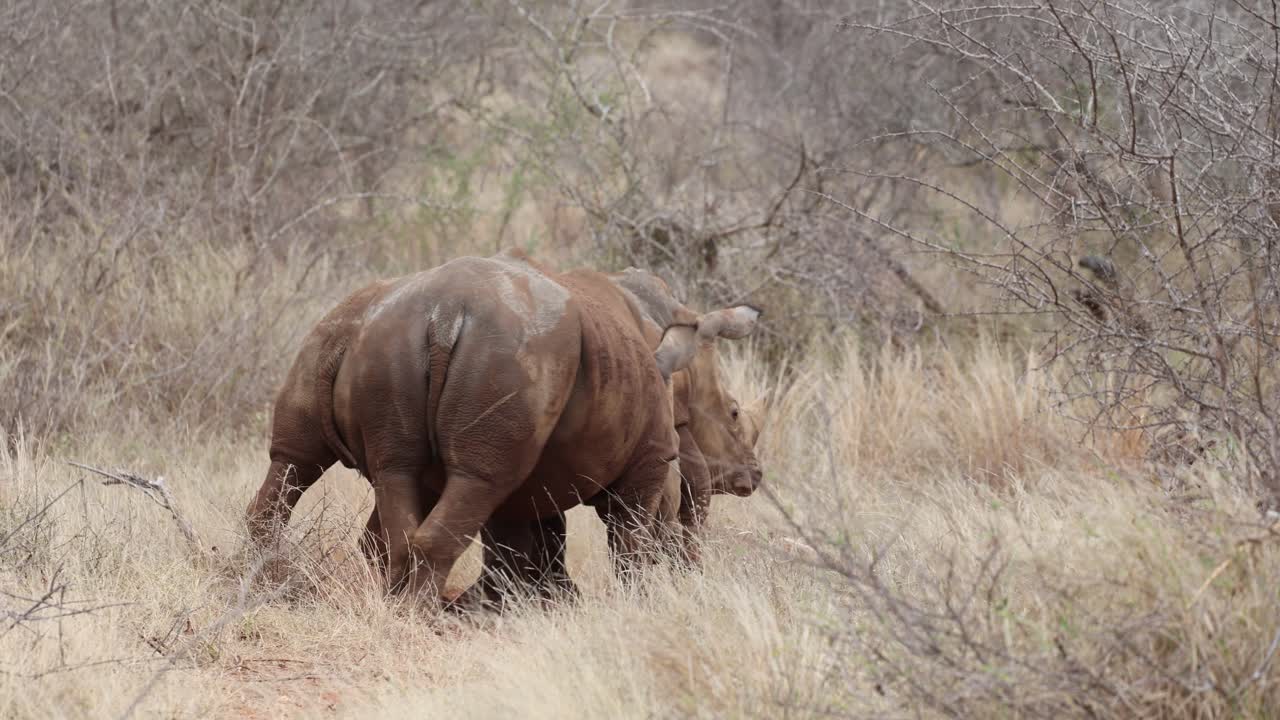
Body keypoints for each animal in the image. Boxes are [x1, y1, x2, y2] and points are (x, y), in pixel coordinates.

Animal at [245, 250, 761, 603]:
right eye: (735, 414)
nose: (755, 476)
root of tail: (444, 313)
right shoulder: (654, 451)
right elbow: (631, 532)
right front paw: (633, 600)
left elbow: (529, 531)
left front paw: (529, 603)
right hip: (509, 357)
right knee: (476, 481)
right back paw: (415, 613)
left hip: (378, 339)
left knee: (317, 461)